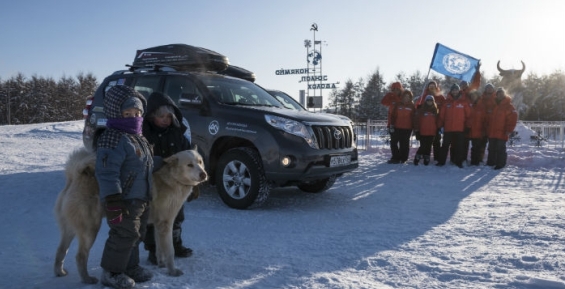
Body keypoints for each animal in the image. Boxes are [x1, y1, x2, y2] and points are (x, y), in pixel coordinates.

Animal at [53, 147, 206, 282]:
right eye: (189, 165)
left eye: (200, 162)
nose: (204, 174)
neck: (172, 179)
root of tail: (75, 176)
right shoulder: (165, 224)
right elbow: (169, 251)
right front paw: (172, 271)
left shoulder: (158, 226)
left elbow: (159, 249)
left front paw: (161, 264)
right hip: (90, 230)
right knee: (80, 256)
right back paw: (87, 279)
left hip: (70, 230)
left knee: (60, 250)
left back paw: (59, 272)